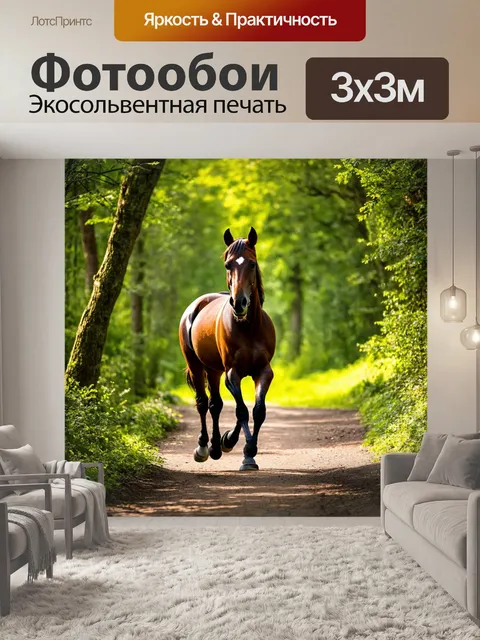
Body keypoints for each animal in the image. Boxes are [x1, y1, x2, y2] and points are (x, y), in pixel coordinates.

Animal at [178, 227, 276, 471]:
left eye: (252, 264)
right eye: (227, 265)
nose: (239, 303)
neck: (249, 328)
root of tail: (196, 306)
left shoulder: (263, 371)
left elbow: (258, 411)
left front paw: (237, 445)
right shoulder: (233, 373)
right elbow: (241, 410)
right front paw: (246, 453)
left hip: (213, 370)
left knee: (215, 405)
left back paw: (216, 447)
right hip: (196, 365)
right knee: (203, 403)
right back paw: (203, 448)